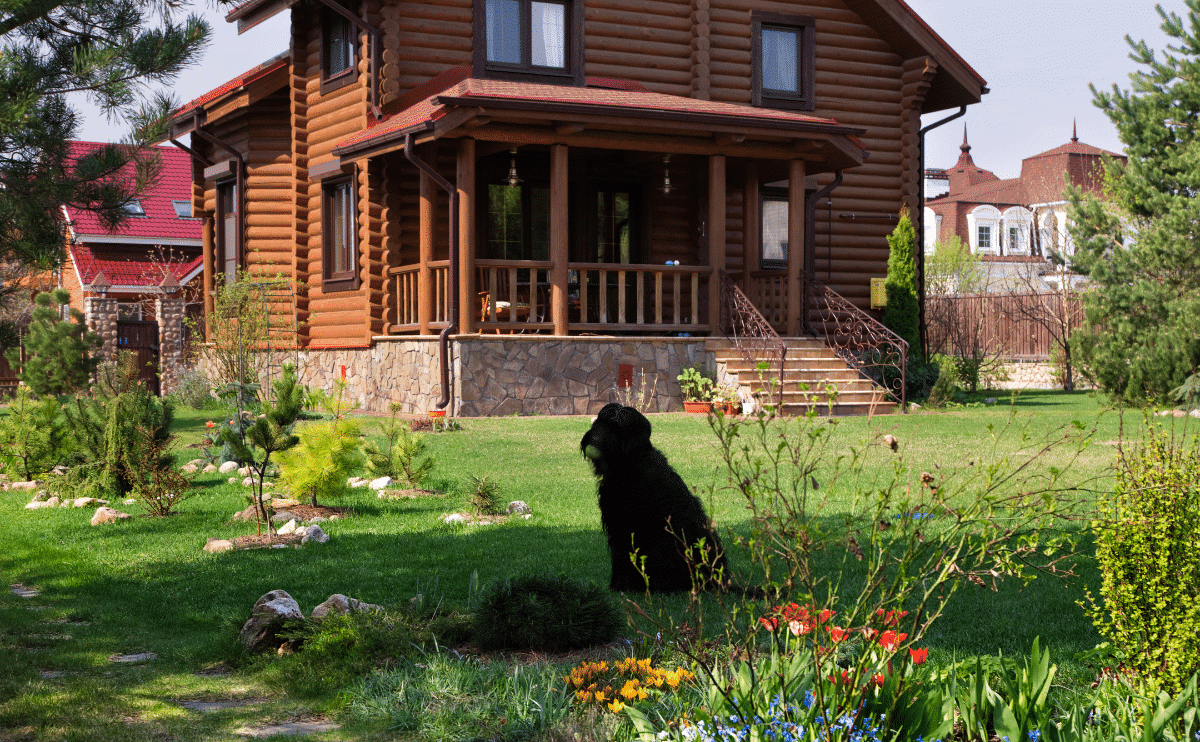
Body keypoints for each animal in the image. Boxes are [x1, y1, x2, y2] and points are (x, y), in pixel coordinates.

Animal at [576, 401, 724, 593]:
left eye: (616, 428)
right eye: (601, 422)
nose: (593, 438)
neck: (632, 460)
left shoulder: (623, 526)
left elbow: (621, 557)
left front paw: (621, 586)